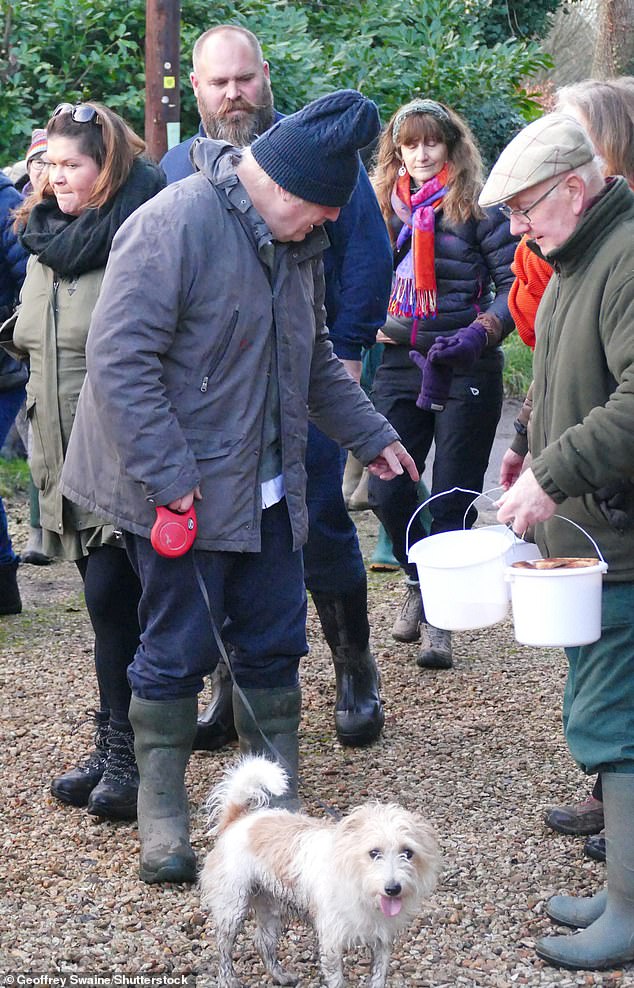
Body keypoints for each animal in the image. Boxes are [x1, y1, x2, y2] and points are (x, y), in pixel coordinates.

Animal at [199, 752, 440, 984]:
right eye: (374, 853)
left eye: (408, 853)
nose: (393, 888)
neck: (359, 883)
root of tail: (238, 820)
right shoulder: (331, 942)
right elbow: (337, 981)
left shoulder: (382, 941)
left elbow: (378, 977)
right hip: (232, 908)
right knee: (223, 948)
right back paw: (228, 980)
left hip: (271, 907)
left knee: (262, 942)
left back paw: (280, 976)